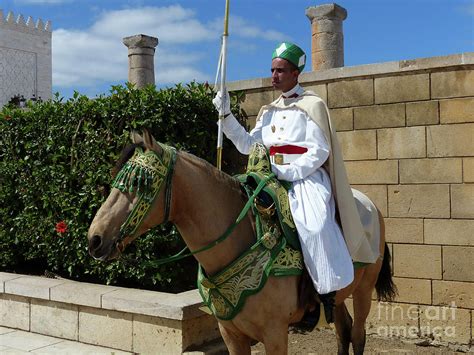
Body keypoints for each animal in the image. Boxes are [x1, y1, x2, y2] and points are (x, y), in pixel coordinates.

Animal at [88, 131, 396, 355]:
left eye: (140, 183)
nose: (94, 239)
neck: (241, 239)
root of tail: (371, 205)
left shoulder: (275, 334)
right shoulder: (232, 334)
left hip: (364, 290)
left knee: (357, 334)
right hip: (341, 291)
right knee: (343, 331)